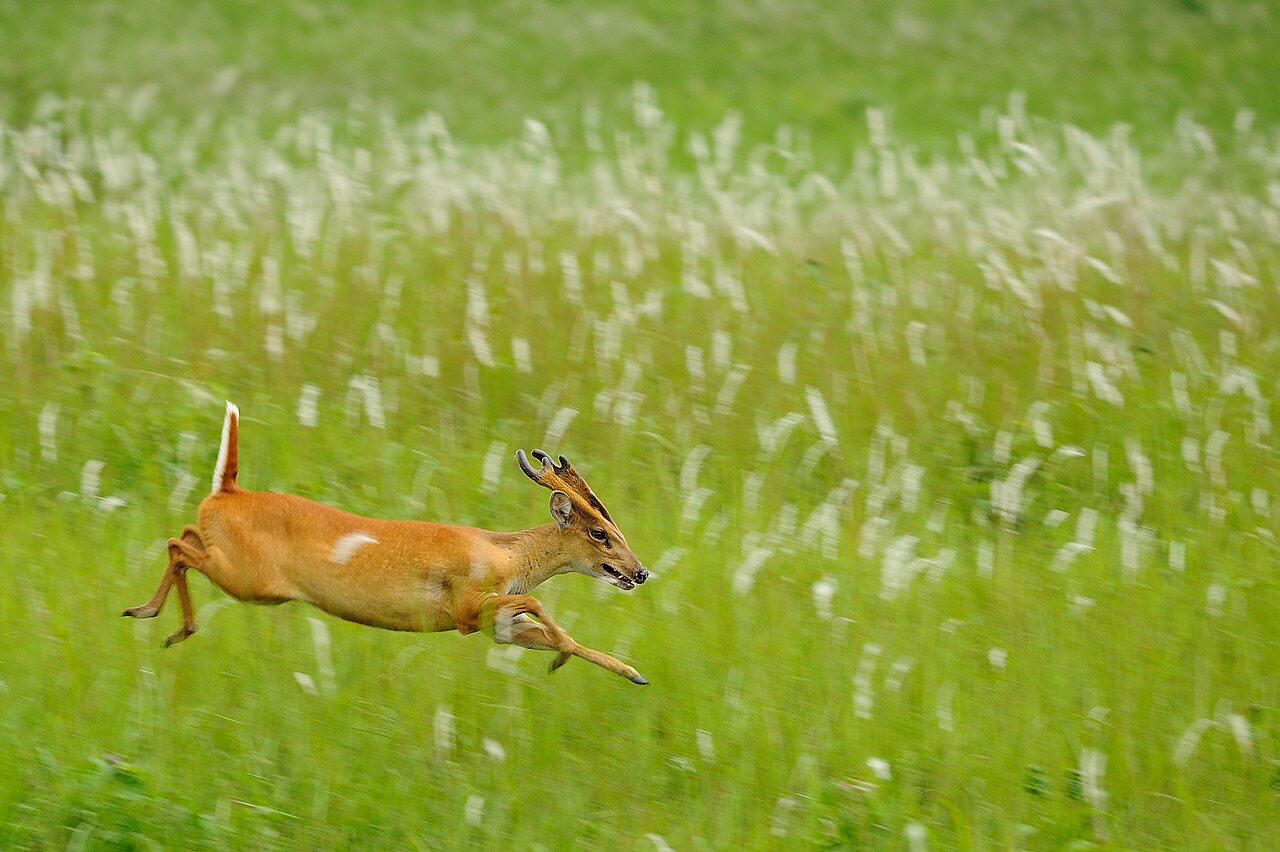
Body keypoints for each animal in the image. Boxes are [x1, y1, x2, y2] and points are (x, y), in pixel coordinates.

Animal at [123, 402, 651, 684]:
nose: (641, 572)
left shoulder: (493, 624)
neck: (503, 553)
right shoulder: (465, 608)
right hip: (250, 580)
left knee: (184, 536)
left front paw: (632, 672)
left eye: (621, 530)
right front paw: (563, 656)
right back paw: (162, 621)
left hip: (238, 569)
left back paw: (157, 619)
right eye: (600, 534)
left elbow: (548, 630)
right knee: (176, 544)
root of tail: (227, 489)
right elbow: (539, 605)